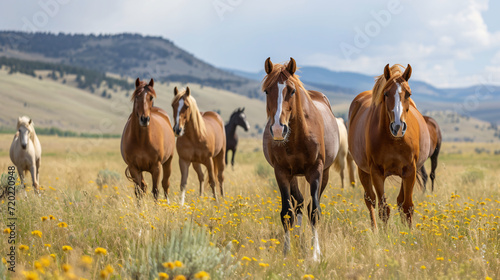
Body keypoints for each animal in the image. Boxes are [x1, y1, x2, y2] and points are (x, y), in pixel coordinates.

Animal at [262, 57, 340, 260]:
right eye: (267, 90)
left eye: (292, 90)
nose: (278, 130)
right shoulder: (281, 172)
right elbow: (286, 213)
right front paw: (286, 253)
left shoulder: (316, 171)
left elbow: (314, 212)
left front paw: (315, 255)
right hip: (293, 176)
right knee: (298, 203)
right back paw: (298, 239)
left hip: (324, 174)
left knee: (309, 204)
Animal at [348, 64, 430, 229]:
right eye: (386, 93)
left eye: (408, 94)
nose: (398, 127)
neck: (394, 140)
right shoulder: (376, 172)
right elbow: (383, 208)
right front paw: (385, 234)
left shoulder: (410, 170)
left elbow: (407, 206)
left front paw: (408, 233)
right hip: (363, 171)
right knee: (370, 200)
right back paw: (374, 230)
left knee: (399, 201)